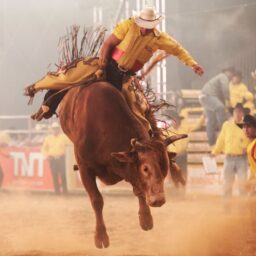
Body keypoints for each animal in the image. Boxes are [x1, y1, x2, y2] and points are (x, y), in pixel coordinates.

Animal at [58, 81, 184, 248]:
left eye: (165, 168)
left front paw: (146, 219)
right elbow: (97, 200)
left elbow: (139, 190)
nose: (158, 200)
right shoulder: (85, 169)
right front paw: (101, 237)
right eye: (145, 168)